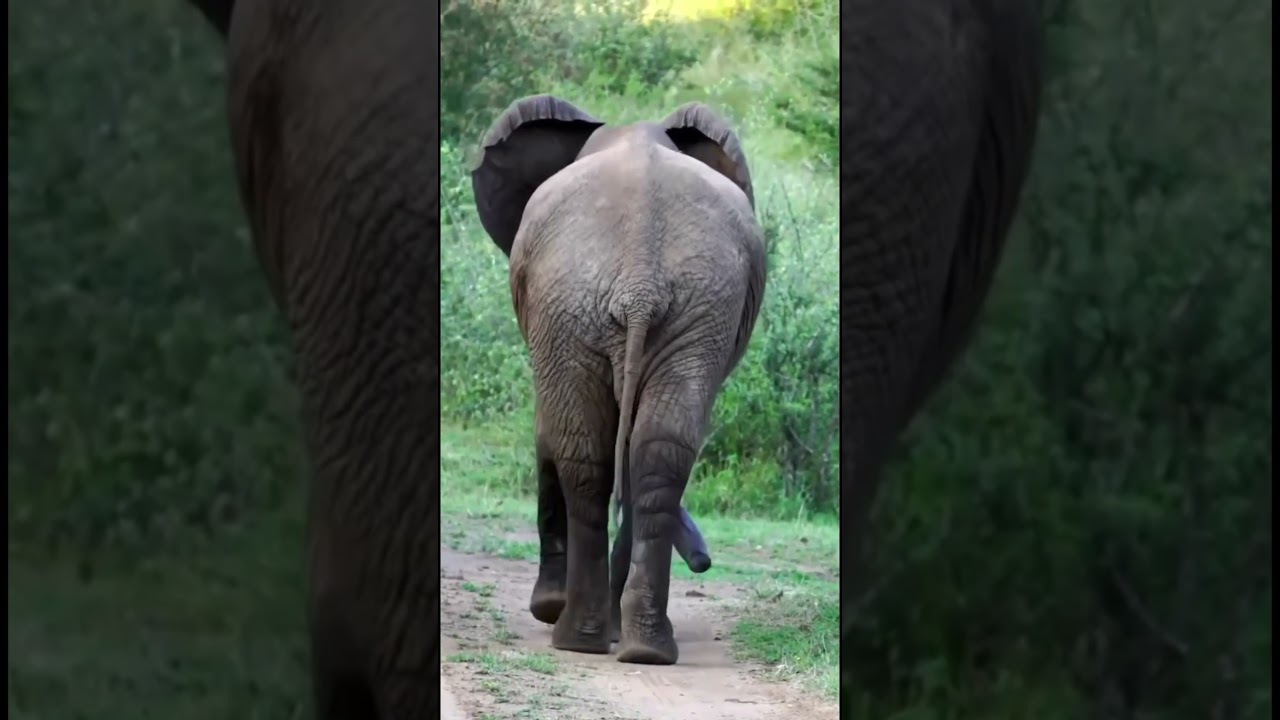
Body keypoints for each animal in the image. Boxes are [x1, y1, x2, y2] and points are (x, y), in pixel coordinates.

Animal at [470, 95, 767, 664]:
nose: (703, 560)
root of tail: (639, 283)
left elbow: (547, 430)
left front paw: (549, 609)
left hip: (582, 301)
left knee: (584, 447)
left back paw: (580, 635)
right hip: (678, 307)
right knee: (652, 450)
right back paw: (635, 647)